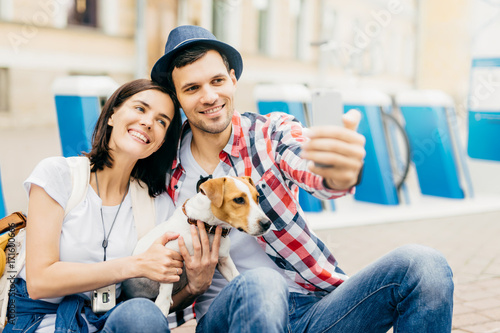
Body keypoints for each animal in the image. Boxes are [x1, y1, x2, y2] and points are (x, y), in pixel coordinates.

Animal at [120, 175, 270, 316]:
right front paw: (162, 305)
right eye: (238, 200)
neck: (206, 226)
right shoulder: (167, 255)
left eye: (257, 197)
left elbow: (236, 276)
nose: (267, 223)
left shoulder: (223, 260)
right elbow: (167, 285)